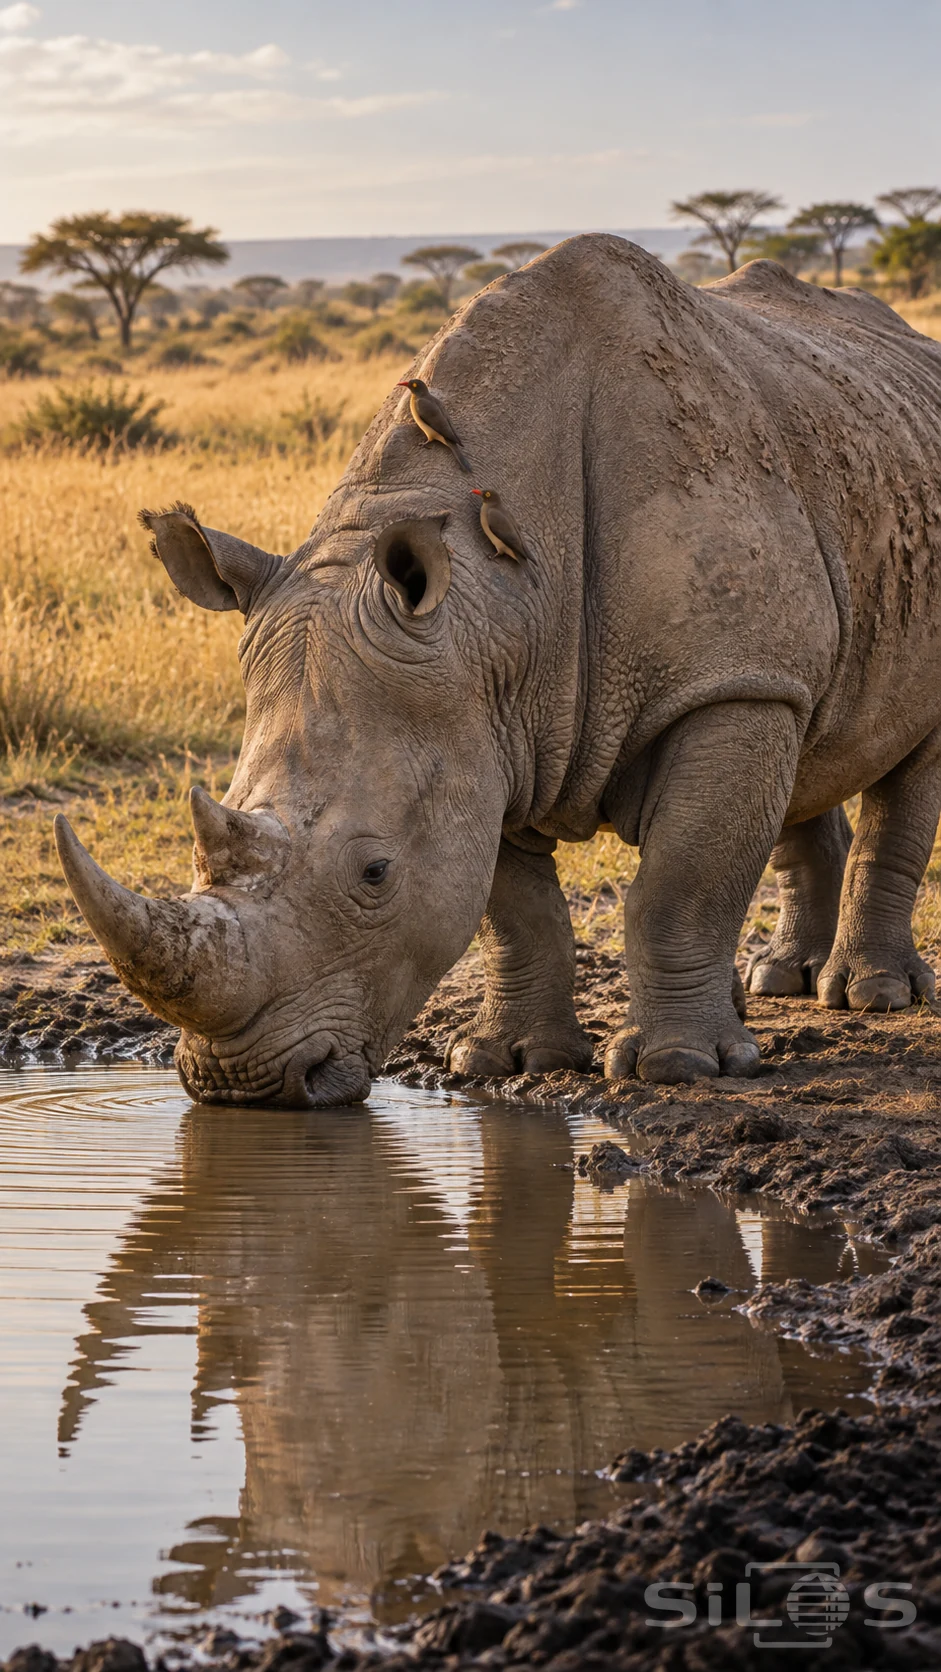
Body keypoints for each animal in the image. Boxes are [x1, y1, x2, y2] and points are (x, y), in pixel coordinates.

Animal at [56, 235, 941, 1106]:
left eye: (374, 873)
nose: (239, 1084)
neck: (496, 605)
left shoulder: (720, 683)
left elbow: (680, 883)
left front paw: (679, 1069)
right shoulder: (483, 712)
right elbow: (513, 907)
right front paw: (507, 1061)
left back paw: (869, 996)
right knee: (810, 728)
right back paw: (777, 982)